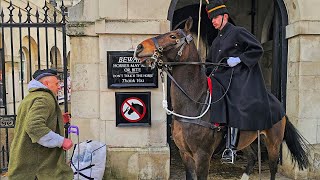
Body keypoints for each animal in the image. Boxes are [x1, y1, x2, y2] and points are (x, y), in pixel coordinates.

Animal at [133, 17, 310, 180]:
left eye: (173, 36)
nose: (139, 47)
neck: (194, 104)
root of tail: (278, 104)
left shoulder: (202, 156)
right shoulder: (185, 154)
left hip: (273, 143)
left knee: (273, 168)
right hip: (246, 140)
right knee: (252, 158)